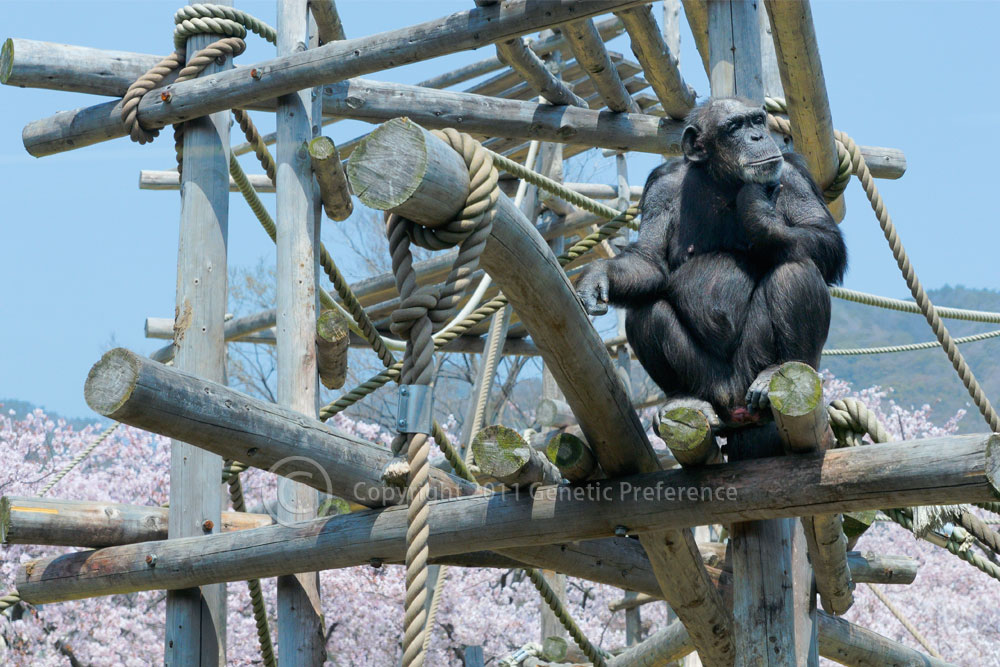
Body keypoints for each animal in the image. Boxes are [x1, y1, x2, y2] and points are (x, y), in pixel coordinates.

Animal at [580, 96, 844, 456]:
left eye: (757, 120)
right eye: (733, 127)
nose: (758, 137)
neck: (721, 178)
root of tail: (736, 409)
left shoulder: (793, 174)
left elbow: (823, 237)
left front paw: (756, 208)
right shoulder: (661, 186)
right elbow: (648, 259)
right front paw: (598, 276)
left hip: (752, 368)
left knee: (795, 270)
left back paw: (779, 370)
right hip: (710, 383)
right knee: (645, 309)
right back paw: (684, 397)